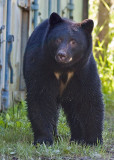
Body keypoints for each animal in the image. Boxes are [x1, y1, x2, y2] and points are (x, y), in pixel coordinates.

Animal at [23, 12, 104, 145]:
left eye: (73, 41)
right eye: (58, 39)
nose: (61, 55)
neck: (63, 68)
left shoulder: (84, 71)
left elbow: (89, 99)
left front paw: (94, 141)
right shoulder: (40, 66)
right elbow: (40, 98)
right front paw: (43, 139)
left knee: (74, 112)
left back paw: (77, 138)